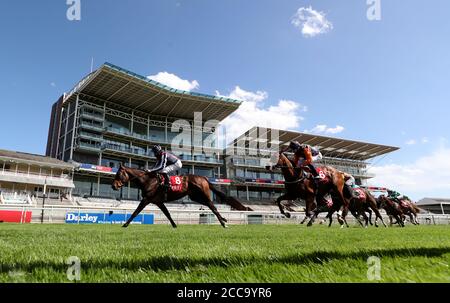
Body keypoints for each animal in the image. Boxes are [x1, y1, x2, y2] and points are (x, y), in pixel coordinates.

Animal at [111, 165, 253, 229]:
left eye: (118, 174)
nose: (113, 186)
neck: (148, 180)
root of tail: (204, 178)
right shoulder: (158, 202)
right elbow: (167, 214)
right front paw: (174, 225)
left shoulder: (146, 199)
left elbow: (135, 212)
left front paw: (125, 224)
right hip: (195, 197)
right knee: (210, 206)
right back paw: (223, 219)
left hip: (203, 195)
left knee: (213, 206)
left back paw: (223, 223)